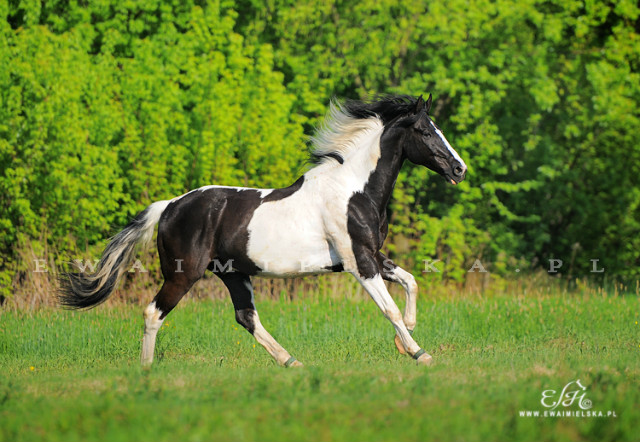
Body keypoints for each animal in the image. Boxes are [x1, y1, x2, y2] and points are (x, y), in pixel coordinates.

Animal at [60, 95, 468, 368]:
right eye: (425, 131)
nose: (460, 169)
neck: (354, 190)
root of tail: (171, 205)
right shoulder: (359, 262)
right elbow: (390, 309)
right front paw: (418, 352)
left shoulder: (372, 254)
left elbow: (411, 282)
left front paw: (407, 338)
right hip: (183, 274)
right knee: (153, 312)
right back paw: (145, 371)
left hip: (234, 274)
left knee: (247, 318)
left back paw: (292, 362)